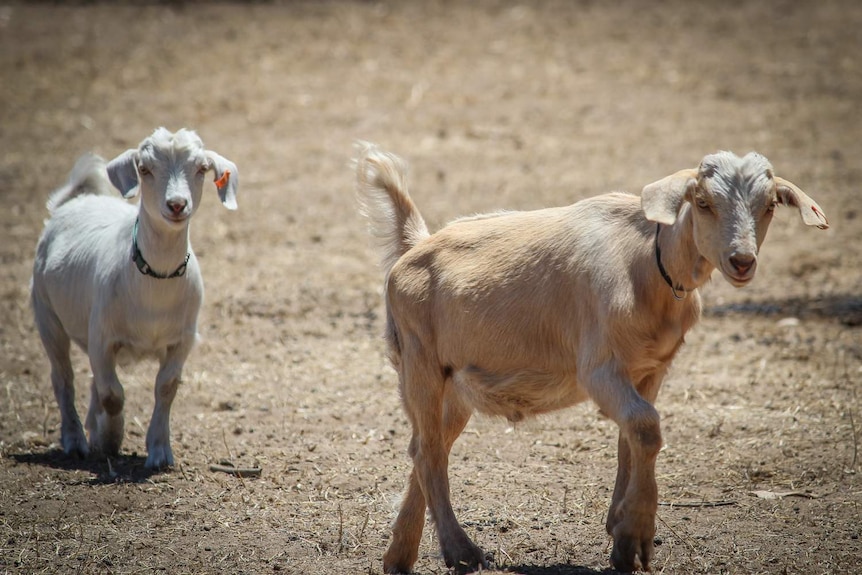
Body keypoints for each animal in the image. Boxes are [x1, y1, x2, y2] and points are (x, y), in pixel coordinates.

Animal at [30, 128, 240, 470]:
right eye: (144, 169)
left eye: (201, 169)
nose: (177, 204)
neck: (154, 284)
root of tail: (76, 200)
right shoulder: (102, 337)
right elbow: (113, 395)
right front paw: (110, 438)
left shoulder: (182, 340)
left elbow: (165, 388)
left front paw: (159, 452)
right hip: (47, 316)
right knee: (63, 379)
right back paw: (75, 441)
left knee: (92, 380)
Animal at [352, 142, 832, 572]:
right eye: (702, 201)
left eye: (769, 205)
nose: (742, 261)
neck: (649, 266)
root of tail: (414, 247)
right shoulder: (599, 367)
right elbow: (646, 426)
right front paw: (634, 537)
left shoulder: (651, 370)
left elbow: (631, 439)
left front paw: (621, 534)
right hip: (418, 362)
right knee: (429, 453)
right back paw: (462, 552)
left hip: (456, 386)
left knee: (423, 447)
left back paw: (399, 557)